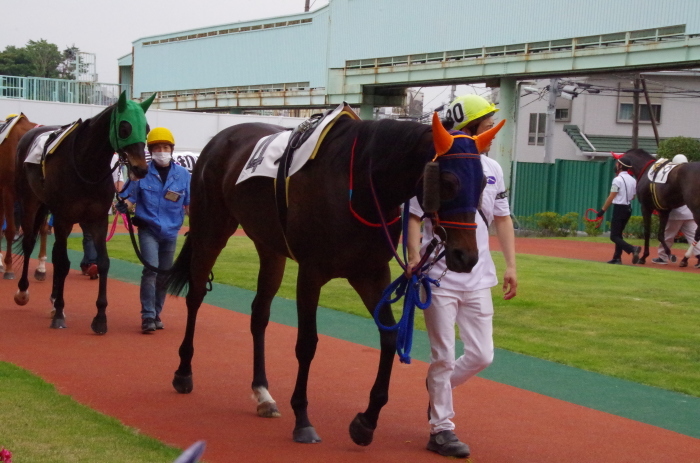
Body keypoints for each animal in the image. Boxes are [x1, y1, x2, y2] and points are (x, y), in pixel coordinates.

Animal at [12, 93, 156, 334]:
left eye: (146, 128)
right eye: (124, 128)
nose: (141, 169)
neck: (87, 166)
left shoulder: (97, 219)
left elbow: (103, 262)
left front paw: (100, 317)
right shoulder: (64, 218)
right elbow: (63, 263)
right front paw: (59, 313)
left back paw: (53, 298)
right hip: (30, 201)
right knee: (30, 242)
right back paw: (23, 291)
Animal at [164, 110, 504, 448]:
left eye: (481, 184)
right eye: (447, 181)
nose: (466, 256)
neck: (362, 184)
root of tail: (219, 139)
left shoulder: (371, 273)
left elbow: (390, 337)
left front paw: (367, 421)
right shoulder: (311, 273)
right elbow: (307, 343)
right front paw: (302, 418)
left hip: (269, 246)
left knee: (259, 313)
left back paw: (262, 393)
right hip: (212, 228)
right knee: (196, 295)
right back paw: (183, 371)